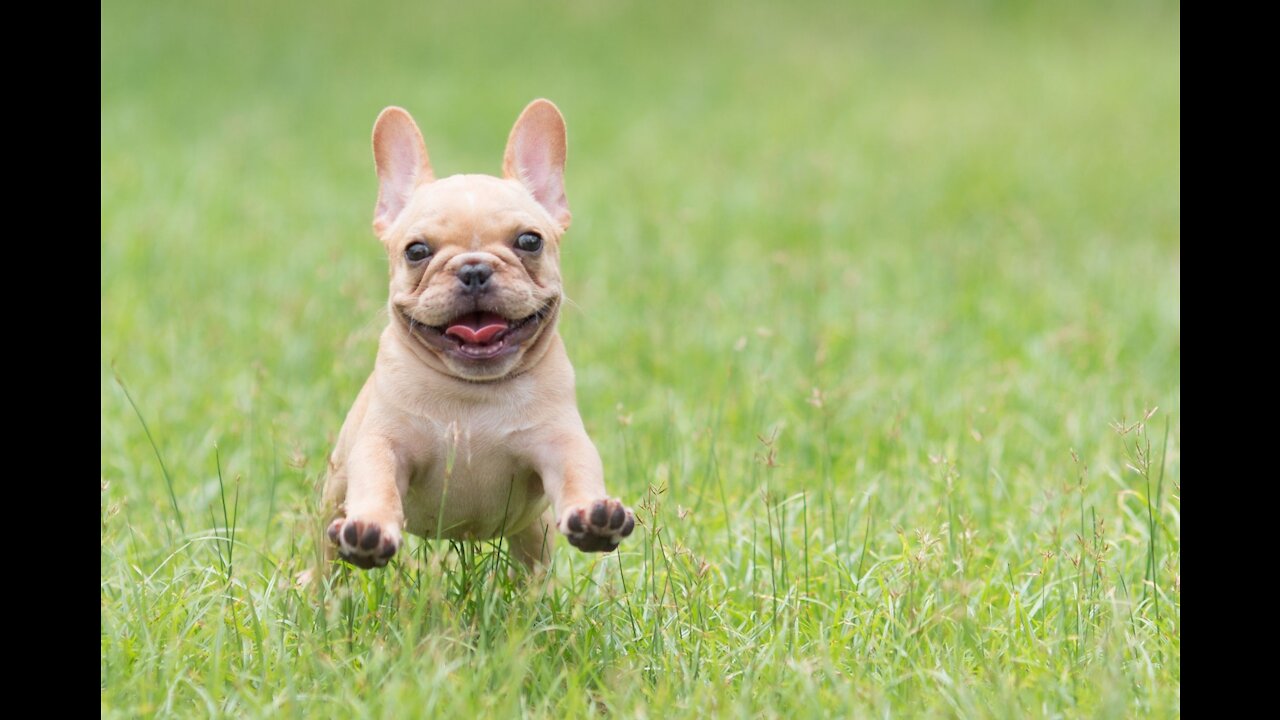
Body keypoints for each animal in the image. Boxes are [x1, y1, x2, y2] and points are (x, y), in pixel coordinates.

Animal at [322, 99, 637, 566]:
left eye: (530, 241)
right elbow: (377, 481)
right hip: (329, 501)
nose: (473, 268)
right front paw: (370, 529)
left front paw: (593, 515)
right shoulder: (383, 443)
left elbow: (577, 471)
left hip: (533, 532)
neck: (472, 395)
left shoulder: (560, 442)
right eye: (416, 251)